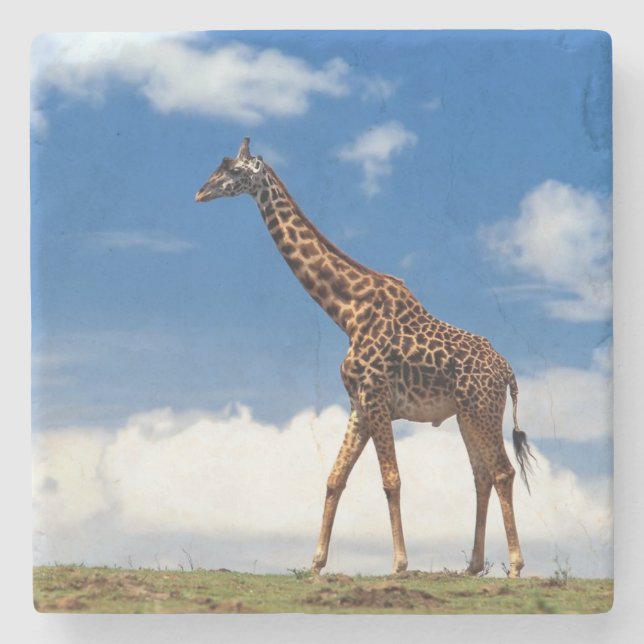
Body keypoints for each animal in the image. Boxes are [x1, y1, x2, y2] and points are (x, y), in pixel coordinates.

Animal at [195, 137, 535, 578]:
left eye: (233, 170)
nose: (201, 192)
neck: (346, 312)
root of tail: (508, 371)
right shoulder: (358, 403)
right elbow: (334, 478)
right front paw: (316, 563)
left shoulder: (376, 397)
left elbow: (391, 479)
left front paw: (399, 564)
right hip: (467, 414)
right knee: (481, 475)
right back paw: (473, 566)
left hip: (482, 409)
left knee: (502, 471)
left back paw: (514, 566)